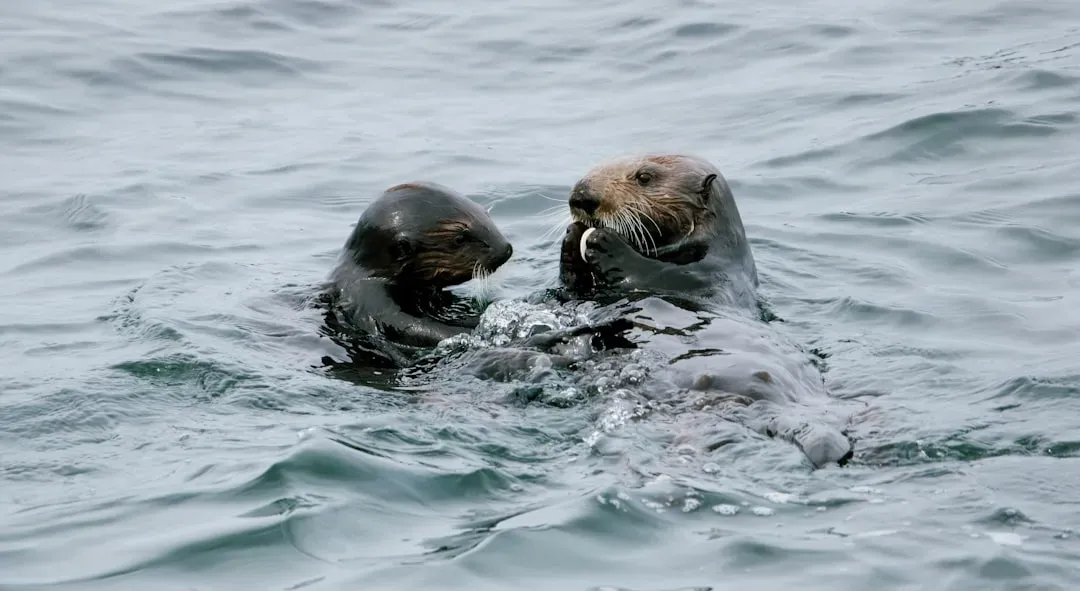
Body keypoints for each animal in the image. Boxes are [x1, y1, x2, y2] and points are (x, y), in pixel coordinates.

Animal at [555, 154, 854, 469]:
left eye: (644, 177)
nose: (580, 197)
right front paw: (573, 235)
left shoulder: (698, 273)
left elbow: (649, 270)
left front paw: (605, 243)